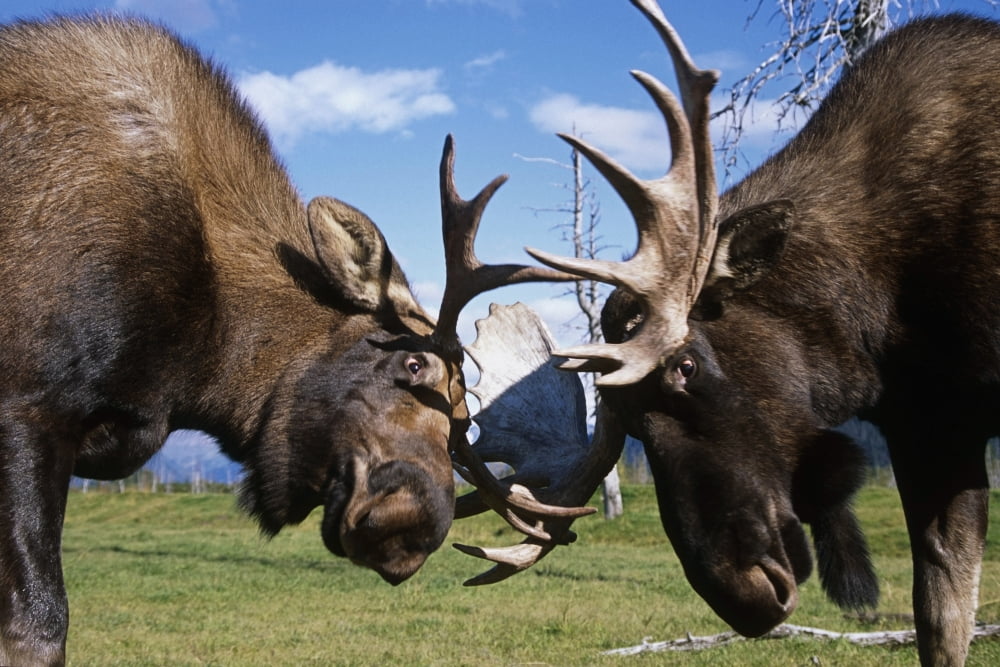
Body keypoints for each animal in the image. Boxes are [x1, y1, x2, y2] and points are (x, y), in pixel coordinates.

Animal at [0, 15, 590, 666]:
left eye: (463, 424)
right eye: (414, 363)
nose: (412, 531)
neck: (197, 361)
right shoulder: (28, 406)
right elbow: (38, 626)